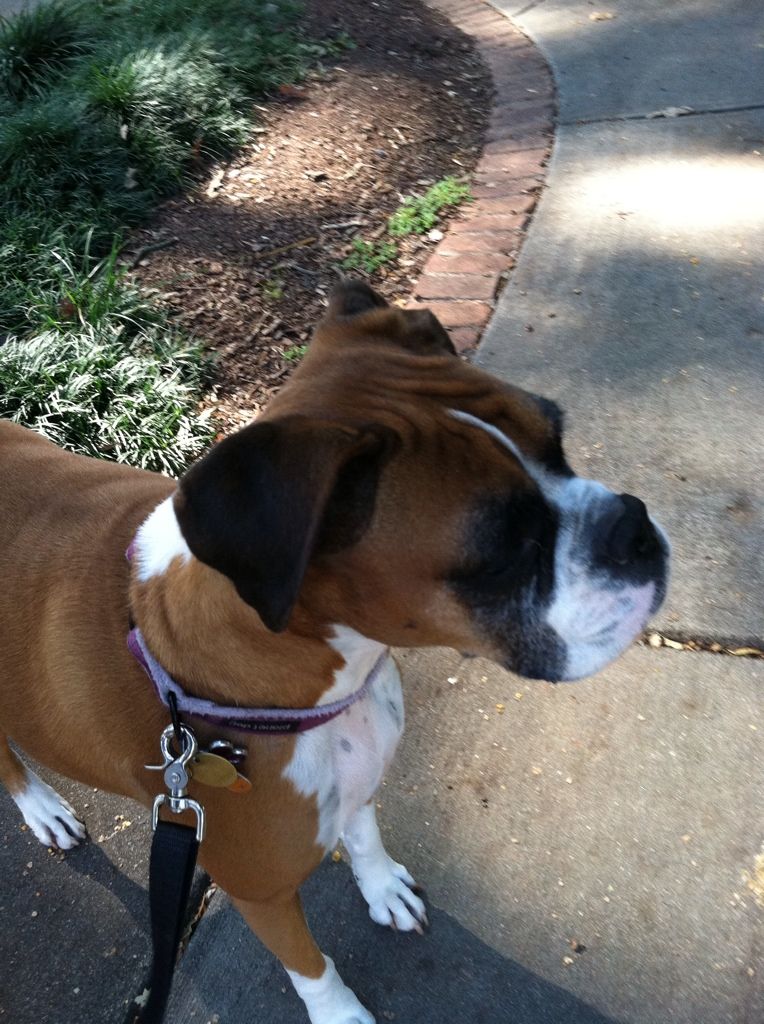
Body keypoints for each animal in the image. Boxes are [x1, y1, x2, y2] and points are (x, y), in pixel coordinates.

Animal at [0, 280, 667, 1024]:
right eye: (504, 551)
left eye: (558, 438)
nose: (635, 526)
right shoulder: (259, 892)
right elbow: (311, 966)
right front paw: (341, 1013)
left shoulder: (359, 771)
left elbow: (365, 834)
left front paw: (382, 889)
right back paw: (44, 810)